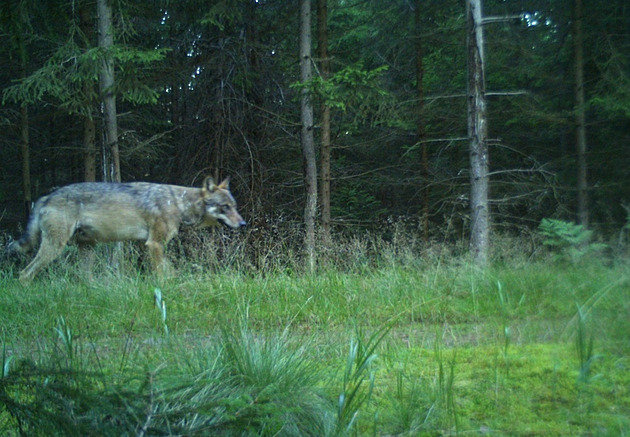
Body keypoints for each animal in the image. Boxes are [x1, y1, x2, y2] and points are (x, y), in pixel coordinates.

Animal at [10, 176, 247, 282]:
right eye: (225, 207)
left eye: (235, 206)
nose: (243, 224)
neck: (179, 203)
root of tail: (46, 197)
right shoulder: (154, 244)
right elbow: (161, 274)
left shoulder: (152, 246)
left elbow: (171, 271)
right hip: (55, 247)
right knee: (24, 274)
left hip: (87, 249)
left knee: (85, 278)